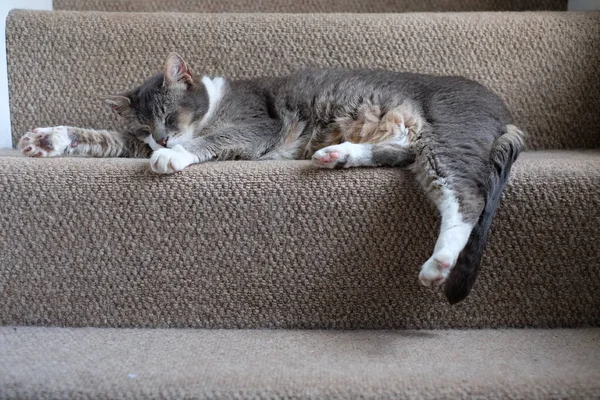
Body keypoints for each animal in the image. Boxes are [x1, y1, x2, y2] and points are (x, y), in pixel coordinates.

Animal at [18, 52, 524, 304]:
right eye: (144, 127)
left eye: (169, 116)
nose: (160, 139)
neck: (212, 103)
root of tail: (504, 111)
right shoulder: (131, 142)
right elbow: (105, 139)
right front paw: (46, 139)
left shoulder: (255, 126)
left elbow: (213, 139)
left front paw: (173, 157)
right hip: (418, 141)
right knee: (400, 152)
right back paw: (335, 154)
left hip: (449, 135)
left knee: (467, 197)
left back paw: (439, 264)